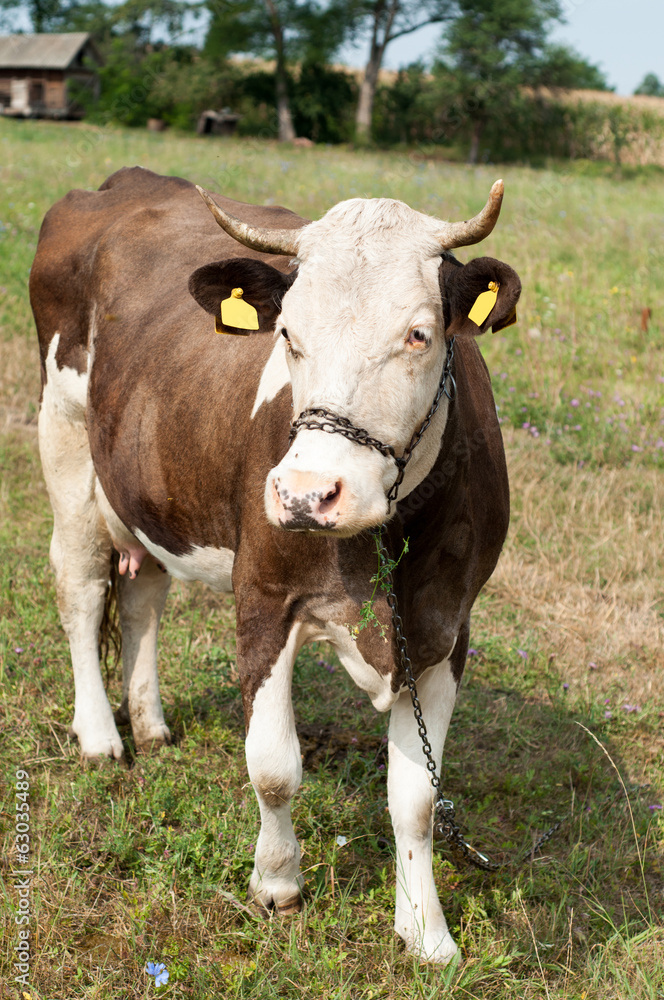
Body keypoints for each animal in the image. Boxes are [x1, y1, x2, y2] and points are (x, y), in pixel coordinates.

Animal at [30, 166, 521, 964]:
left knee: (143, 596)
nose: (306, 494)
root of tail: (127, 180)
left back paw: (150, 722)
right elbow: (272, 767)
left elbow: (417, 796)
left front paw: (425, 931)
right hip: (65, 437)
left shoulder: (447, 624)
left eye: (418, 333)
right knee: (81, 587)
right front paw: (277, 883)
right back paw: (102, 736)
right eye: (288, 333)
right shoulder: (263, 598)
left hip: (152, 479)